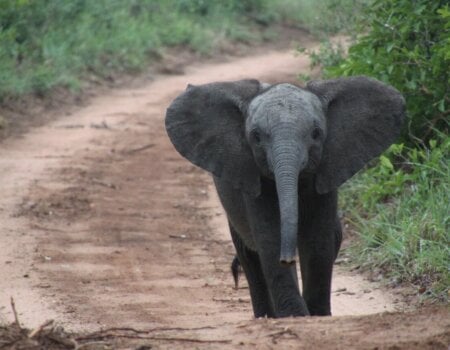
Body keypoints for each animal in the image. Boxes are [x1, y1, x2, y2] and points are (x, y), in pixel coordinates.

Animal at [165, 76, 404, 318]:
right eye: (256, 137)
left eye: (316, 133)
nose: (288, 259)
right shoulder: (253, 177)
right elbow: (270, 238)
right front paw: (296, 316)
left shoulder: (327, 170)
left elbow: (318, 241)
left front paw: (318, 315)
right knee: (248, 255)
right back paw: (266, 316)